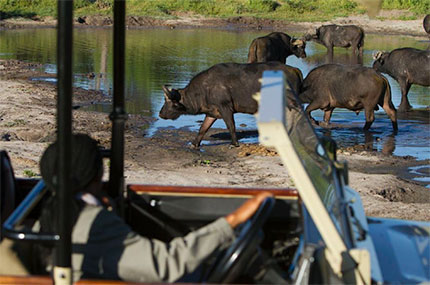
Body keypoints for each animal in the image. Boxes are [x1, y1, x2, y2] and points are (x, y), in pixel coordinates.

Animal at [160, 61, 304, 146]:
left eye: (167, 100)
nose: (160, 114)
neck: (204, 89)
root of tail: (295, 70)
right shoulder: (212, 113)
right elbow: (203, 128)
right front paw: (194, 144)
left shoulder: (225, 108)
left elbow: (231, 126)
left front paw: (235, 143)